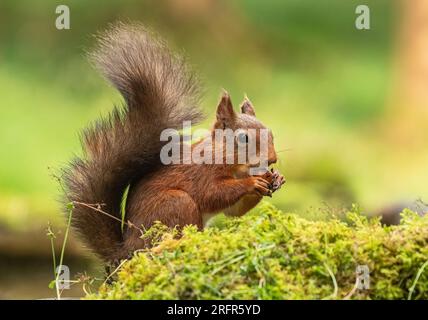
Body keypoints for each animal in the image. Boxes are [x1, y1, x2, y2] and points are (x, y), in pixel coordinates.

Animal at [62, 23, 284, 262]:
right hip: (176, 203)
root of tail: (127, 251)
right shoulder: (202, 172)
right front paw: (253, 182)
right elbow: (213, 194)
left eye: (272, 133)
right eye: (243, 138)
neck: (233, 164)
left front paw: (275, 178)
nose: (273, 159)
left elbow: (234, 211)